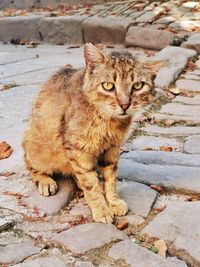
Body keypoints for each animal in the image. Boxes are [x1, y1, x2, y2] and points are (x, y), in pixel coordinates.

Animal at [22, 44, 166, 224]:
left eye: (138, 85)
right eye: (108, 86)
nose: (125, 105)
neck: (109, 122)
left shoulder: (112, 148)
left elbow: (110, 178)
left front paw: (113, 202)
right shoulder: (77, 149)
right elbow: (90, 184)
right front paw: (101, 209)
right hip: (38, 150)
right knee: (30, 164)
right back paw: (45, 181)